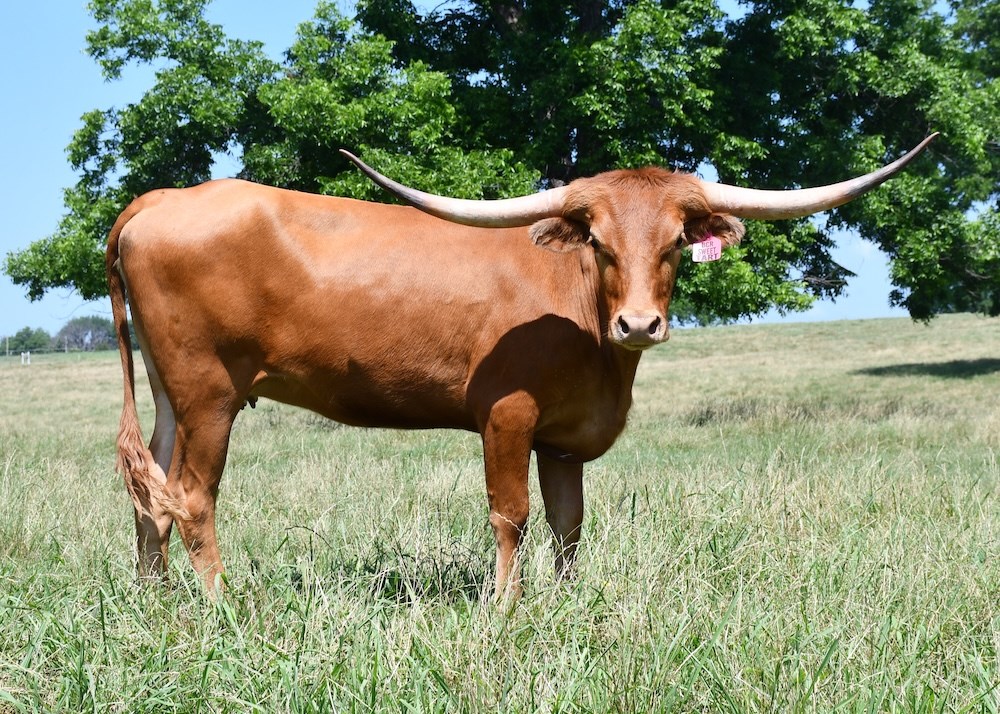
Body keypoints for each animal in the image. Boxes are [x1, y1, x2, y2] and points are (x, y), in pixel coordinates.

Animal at [108, 134, 936, 598]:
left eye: (676, 241)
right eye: (598, 240)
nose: (640, 323)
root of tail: (161, 199)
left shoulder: (564, 441)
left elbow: (569, 524)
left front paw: (564, 607)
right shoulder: (505, 415)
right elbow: (512, 515)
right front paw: (504, 609)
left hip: (171, 394)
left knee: (150, 493)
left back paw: (156, 606)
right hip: (209, 392)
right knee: (191, 497)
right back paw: (223, 609)